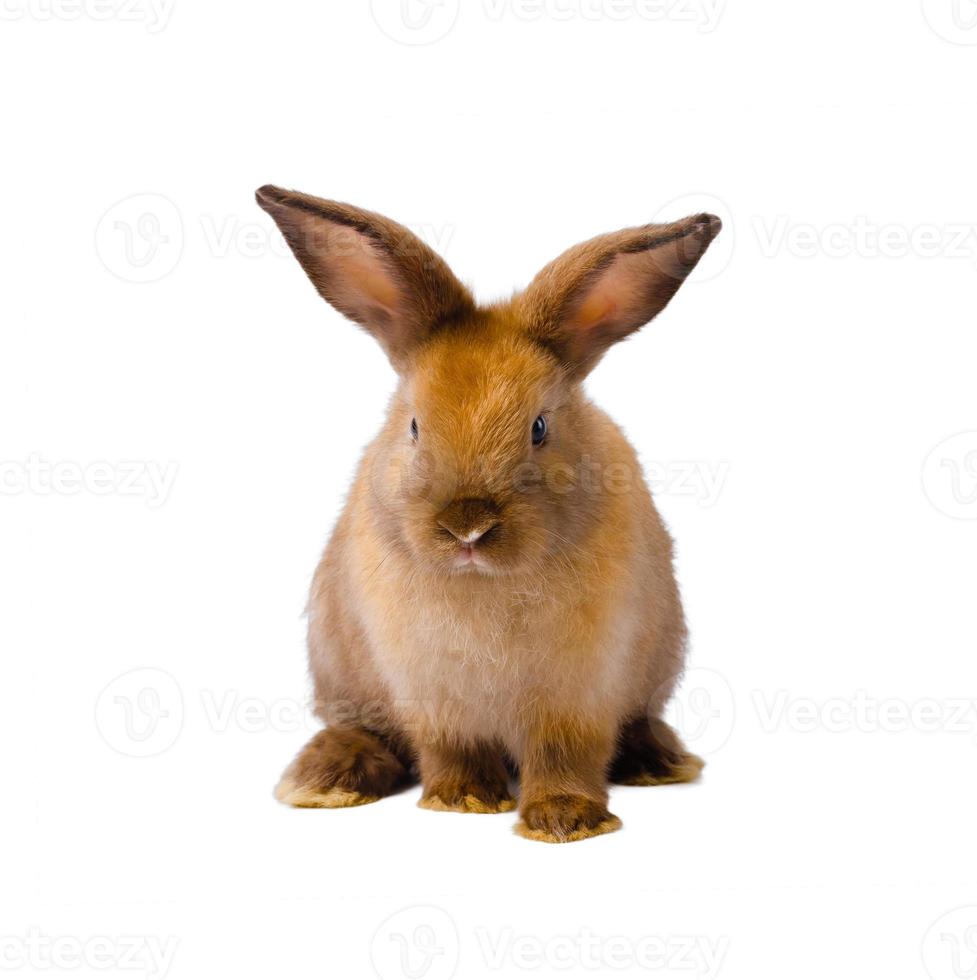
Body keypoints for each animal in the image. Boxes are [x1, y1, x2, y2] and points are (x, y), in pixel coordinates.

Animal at [255, 184, 720, 844]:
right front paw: (464, 800)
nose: (467, 526)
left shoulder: (579, 696)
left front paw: (566, 820)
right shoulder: (434, 697)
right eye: (414, 425)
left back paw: (657, 761)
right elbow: (452, 748)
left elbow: (565, 755)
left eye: (540, 427)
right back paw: (327, 779)